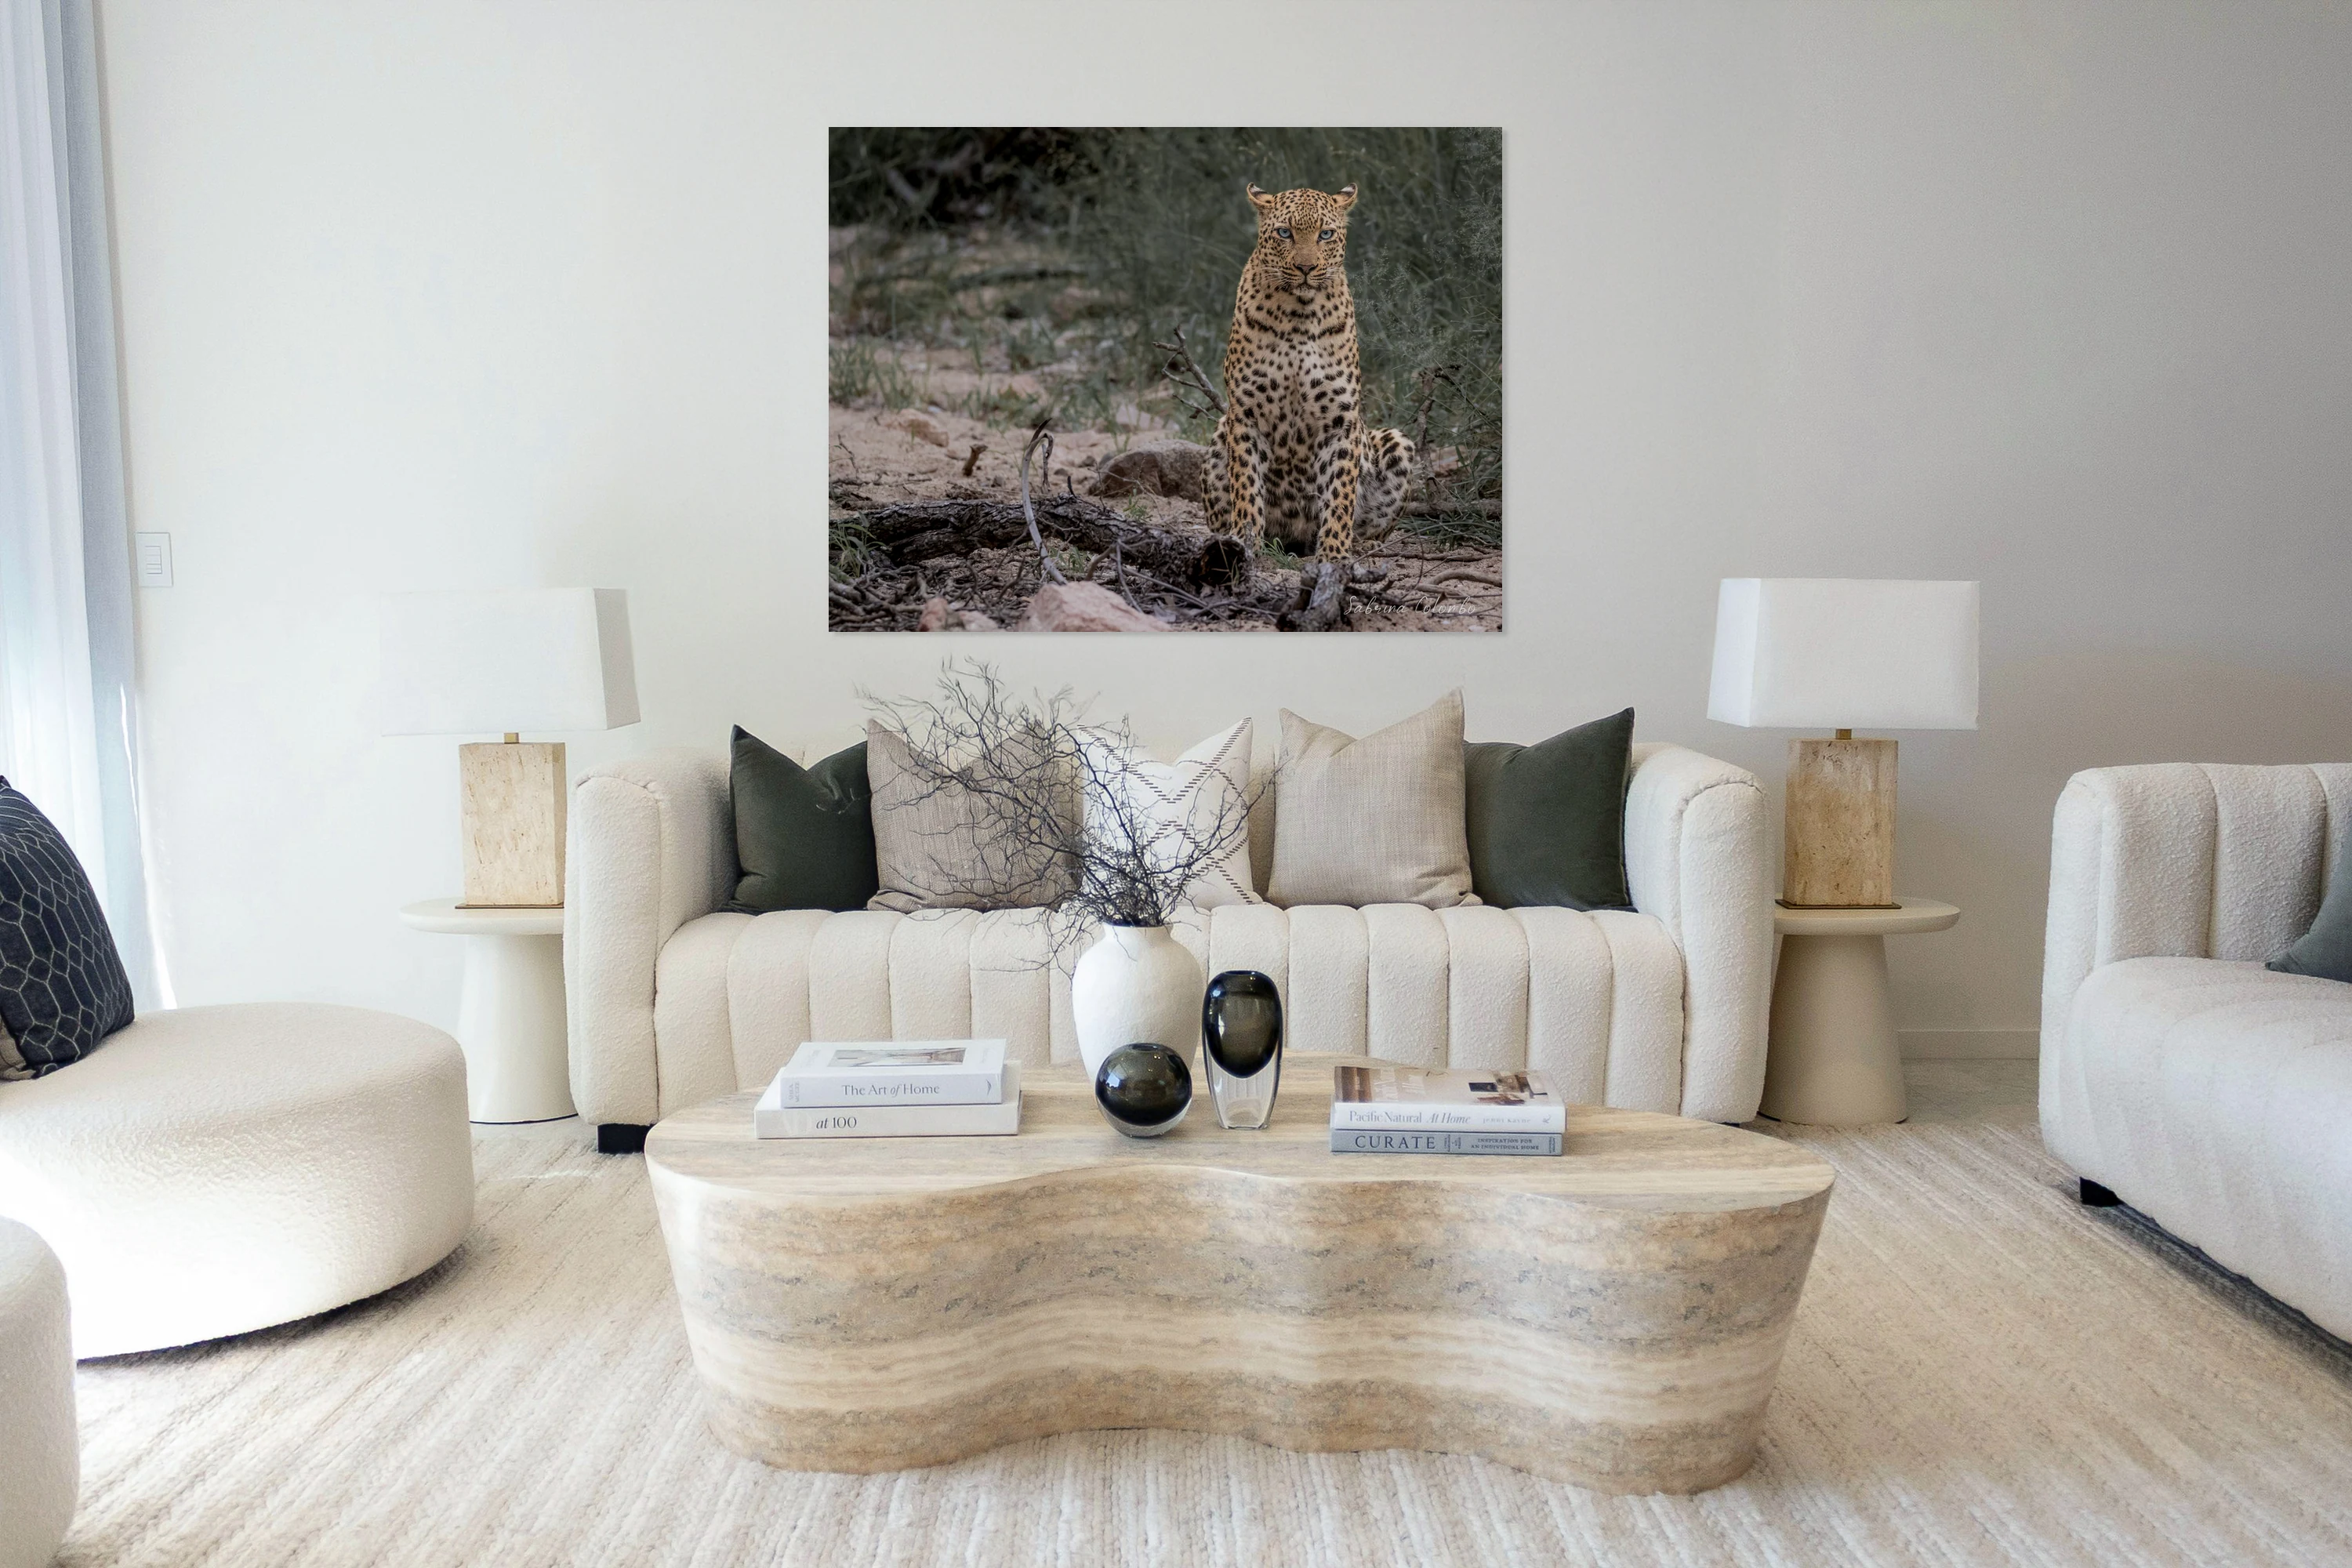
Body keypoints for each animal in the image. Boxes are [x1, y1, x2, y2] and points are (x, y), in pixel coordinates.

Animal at [1204, 182, 1414, 562]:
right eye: (1284, 233)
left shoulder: (1341, 421)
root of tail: (1294, 541)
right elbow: (1246, 486)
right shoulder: (1244, 414)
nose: (1305, 267)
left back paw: (1364, 545)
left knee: (1371, 525)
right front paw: (1244, 542)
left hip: (1396, 441)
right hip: (1218, 437)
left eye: (1325, 234)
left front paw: (1334, 556)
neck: (1298, 316)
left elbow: (1340, 494)